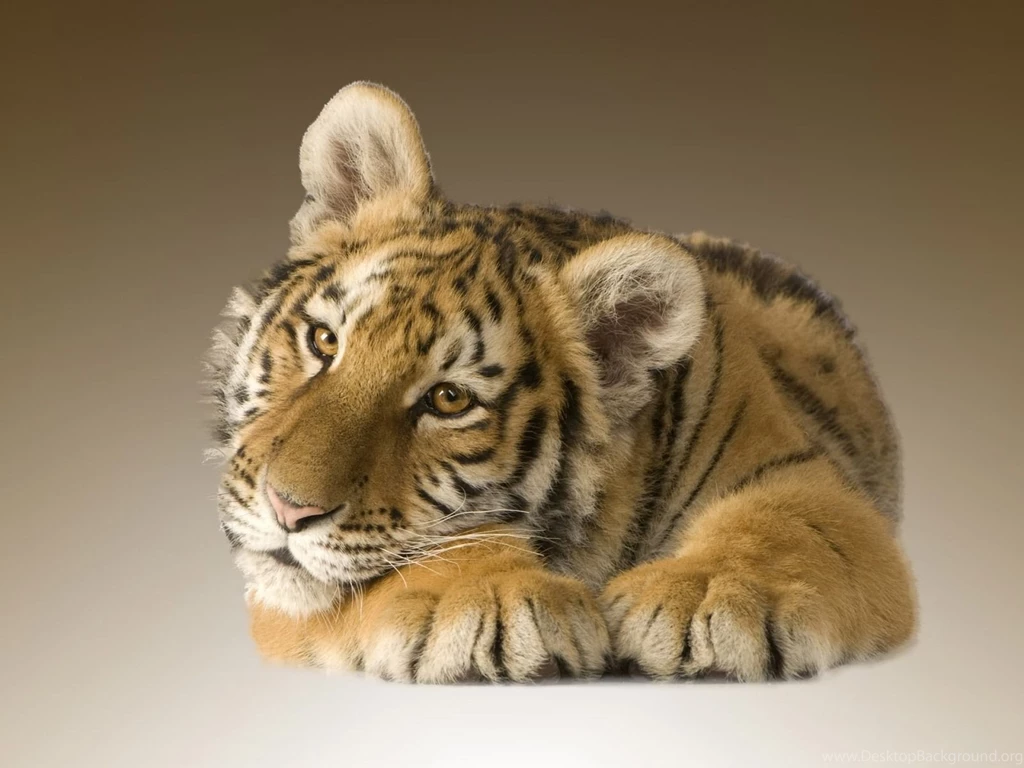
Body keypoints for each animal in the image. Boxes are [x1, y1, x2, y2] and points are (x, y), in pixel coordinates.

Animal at [208, 81, 916, 683]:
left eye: (449, 399)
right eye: (324, 342)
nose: (288, 510)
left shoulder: (809, 480)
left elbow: (786, 526)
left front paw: (706, 595)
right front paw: (496, 598)